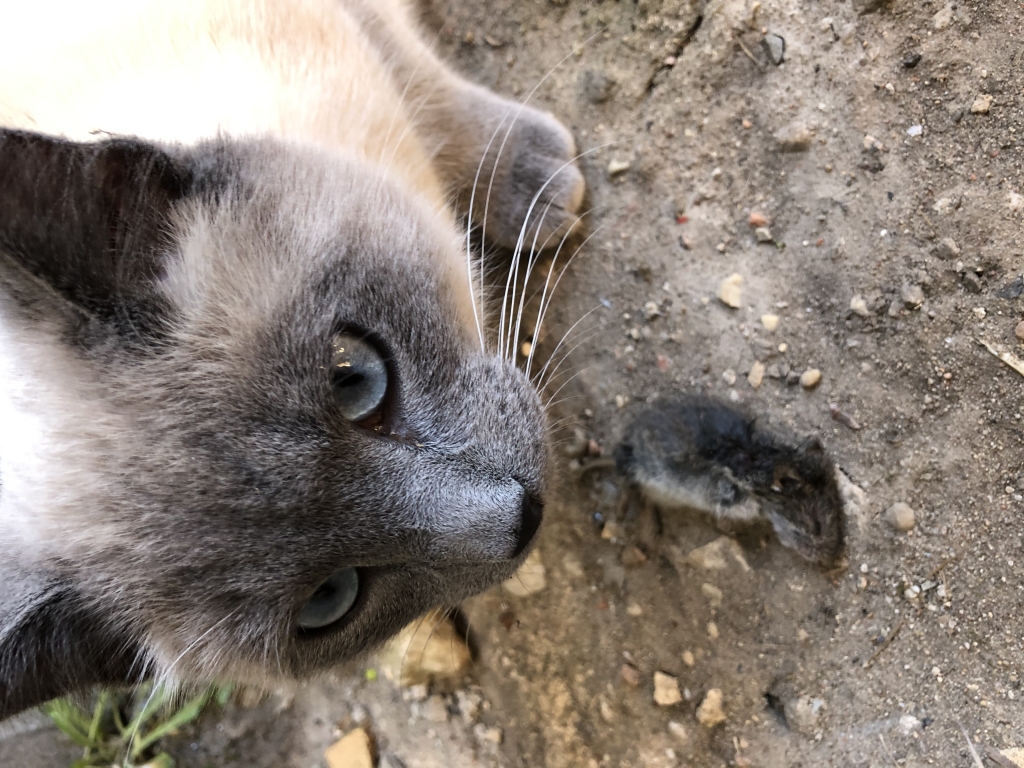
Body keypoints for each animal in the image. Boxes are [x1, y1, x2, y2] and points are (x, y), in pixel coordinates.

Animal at [0, 0, 585, 720]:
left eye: (354, 377)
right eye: (332, 599)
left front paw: (535, 182)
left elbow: (427, 87)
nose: (522, 519)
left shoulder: (357, 26)